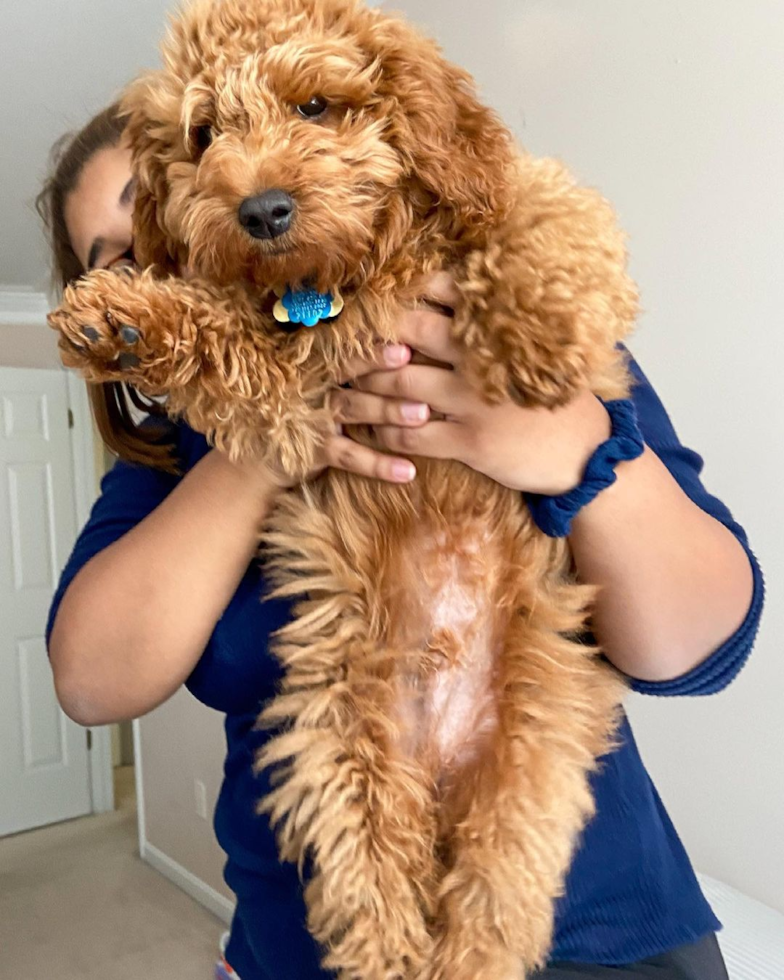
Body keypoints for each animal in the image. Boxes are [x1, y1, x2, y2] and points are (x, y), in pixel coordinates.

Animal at [47, 0, 636, 972]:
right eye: (204, 136)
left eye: (316, 105)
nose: (261, 210)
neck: (353, 271)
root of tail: (438, 765)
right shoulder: (298, 393)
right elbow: (223, 332)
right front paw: (127, 315)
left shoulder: (514, 202)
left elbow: (543, 214)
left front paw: (536, 338)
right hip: (339, 753)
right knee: (376, 893)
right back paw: (393, 949)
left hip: (529, 775)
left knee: (494, 909)